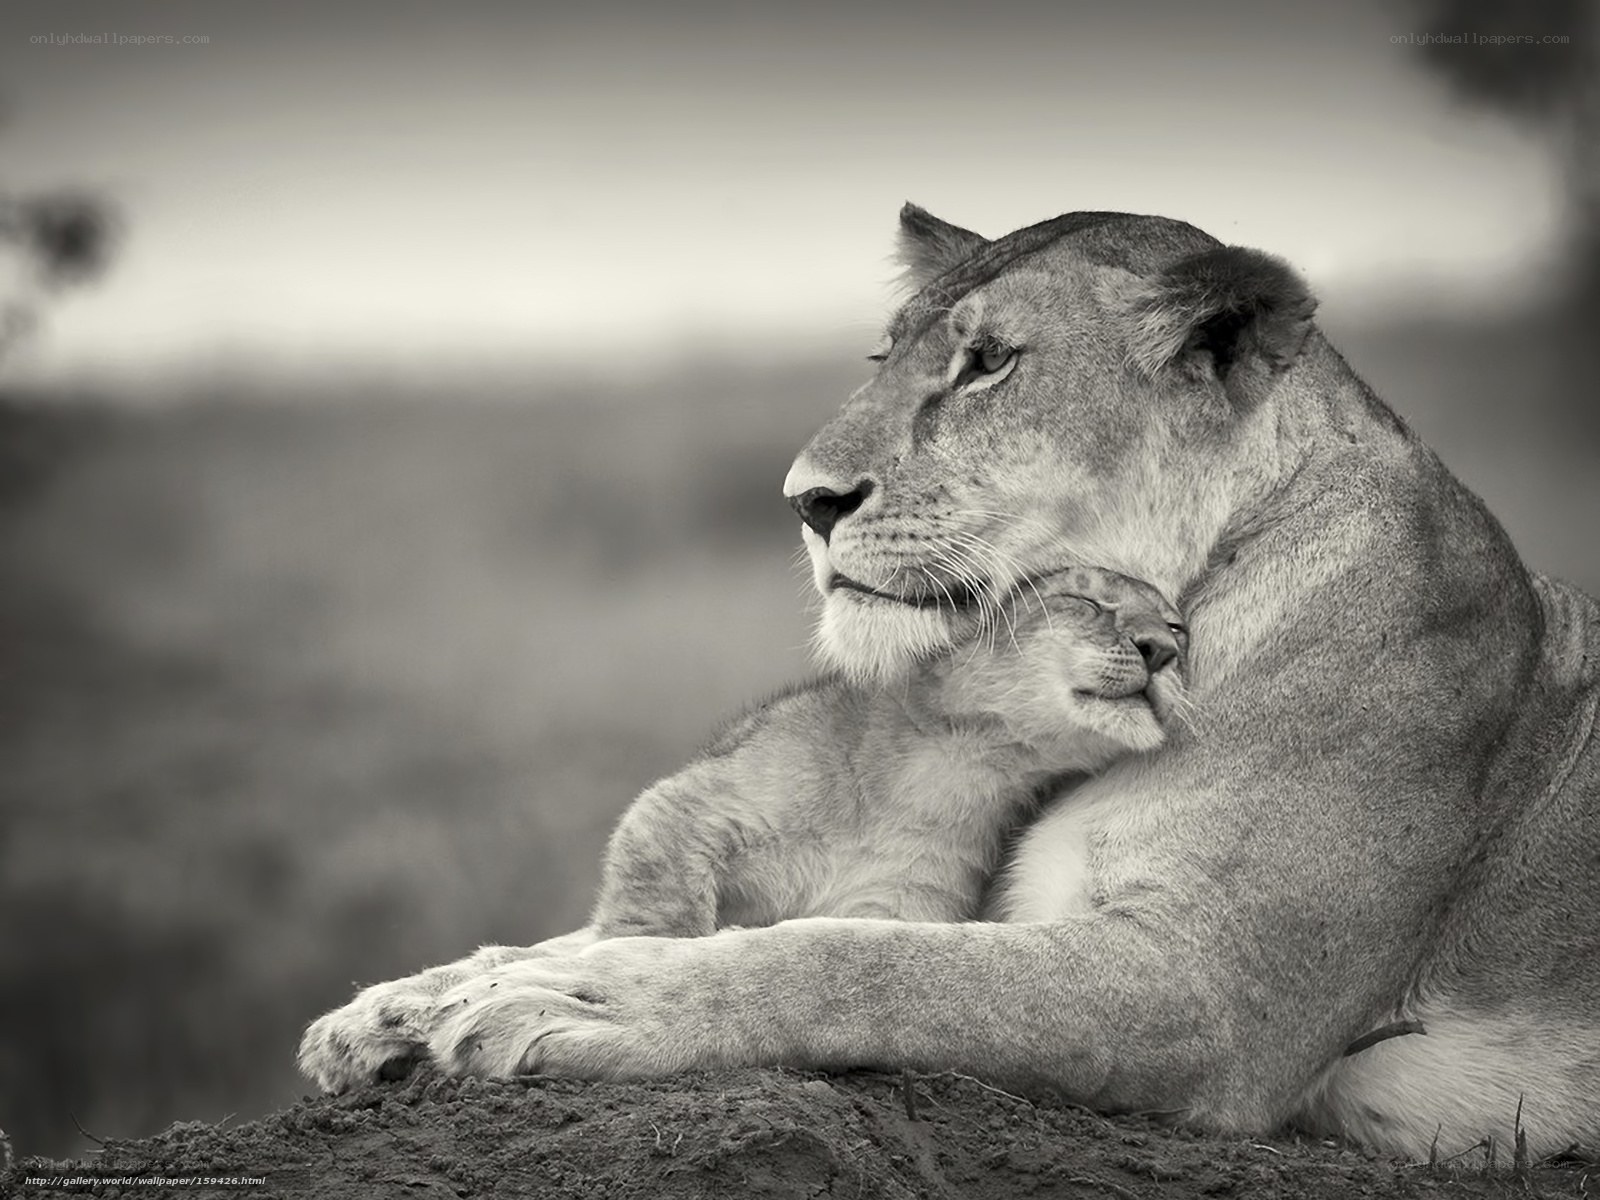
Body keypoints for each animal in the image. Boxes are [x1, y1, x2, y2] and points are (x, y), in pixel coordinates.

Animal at [298, 204, 1600, 1160]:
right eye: (888, 359)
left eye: (986, 366)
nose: (805, 501)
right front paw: (406, 1007)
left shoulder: (1215, 993)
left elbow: (861, 963)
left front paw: (581, 1003)